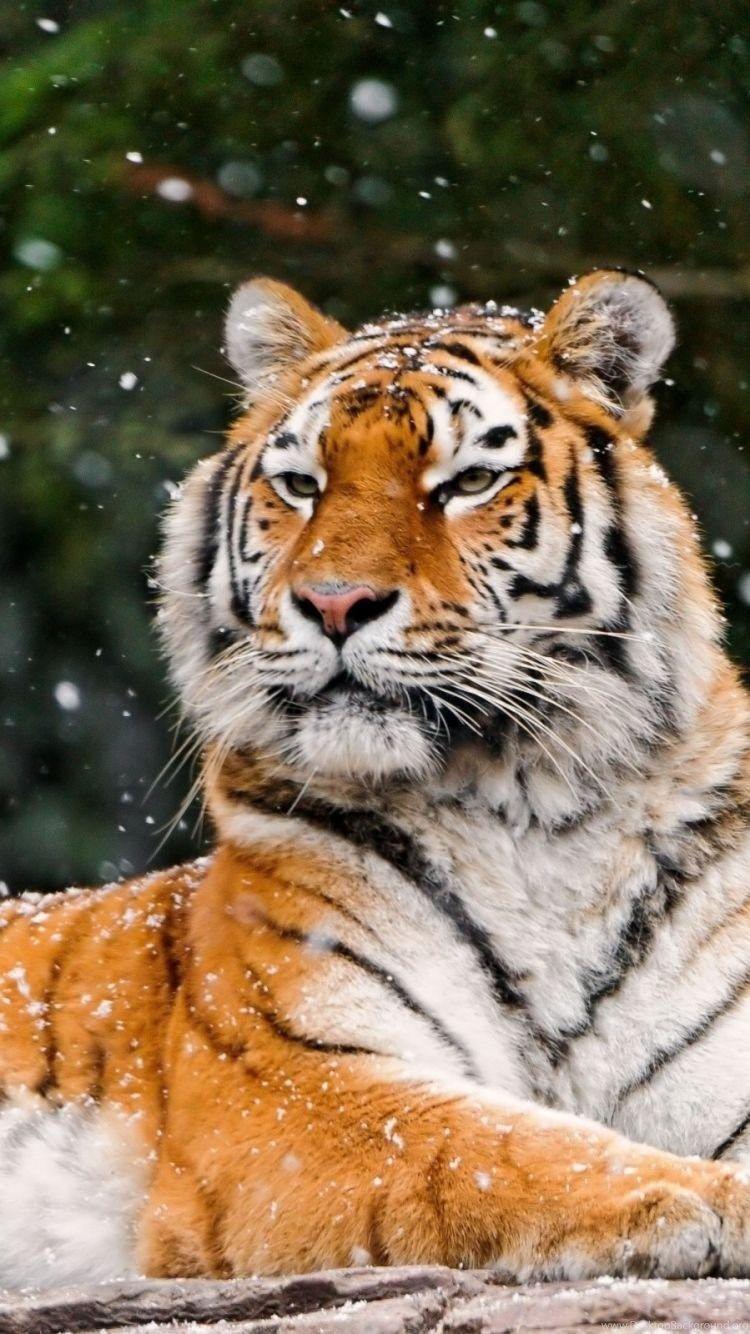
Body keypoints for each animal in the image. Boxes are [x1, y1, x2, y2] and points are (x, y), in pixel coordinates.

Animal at [2, 268, 750, 1290]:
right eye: (301, 485)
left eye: (468, 480)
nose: (333, 604)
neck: (535, 813)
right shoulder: (291, 1085)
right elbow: (497, 1148)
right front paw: (713, 1201)